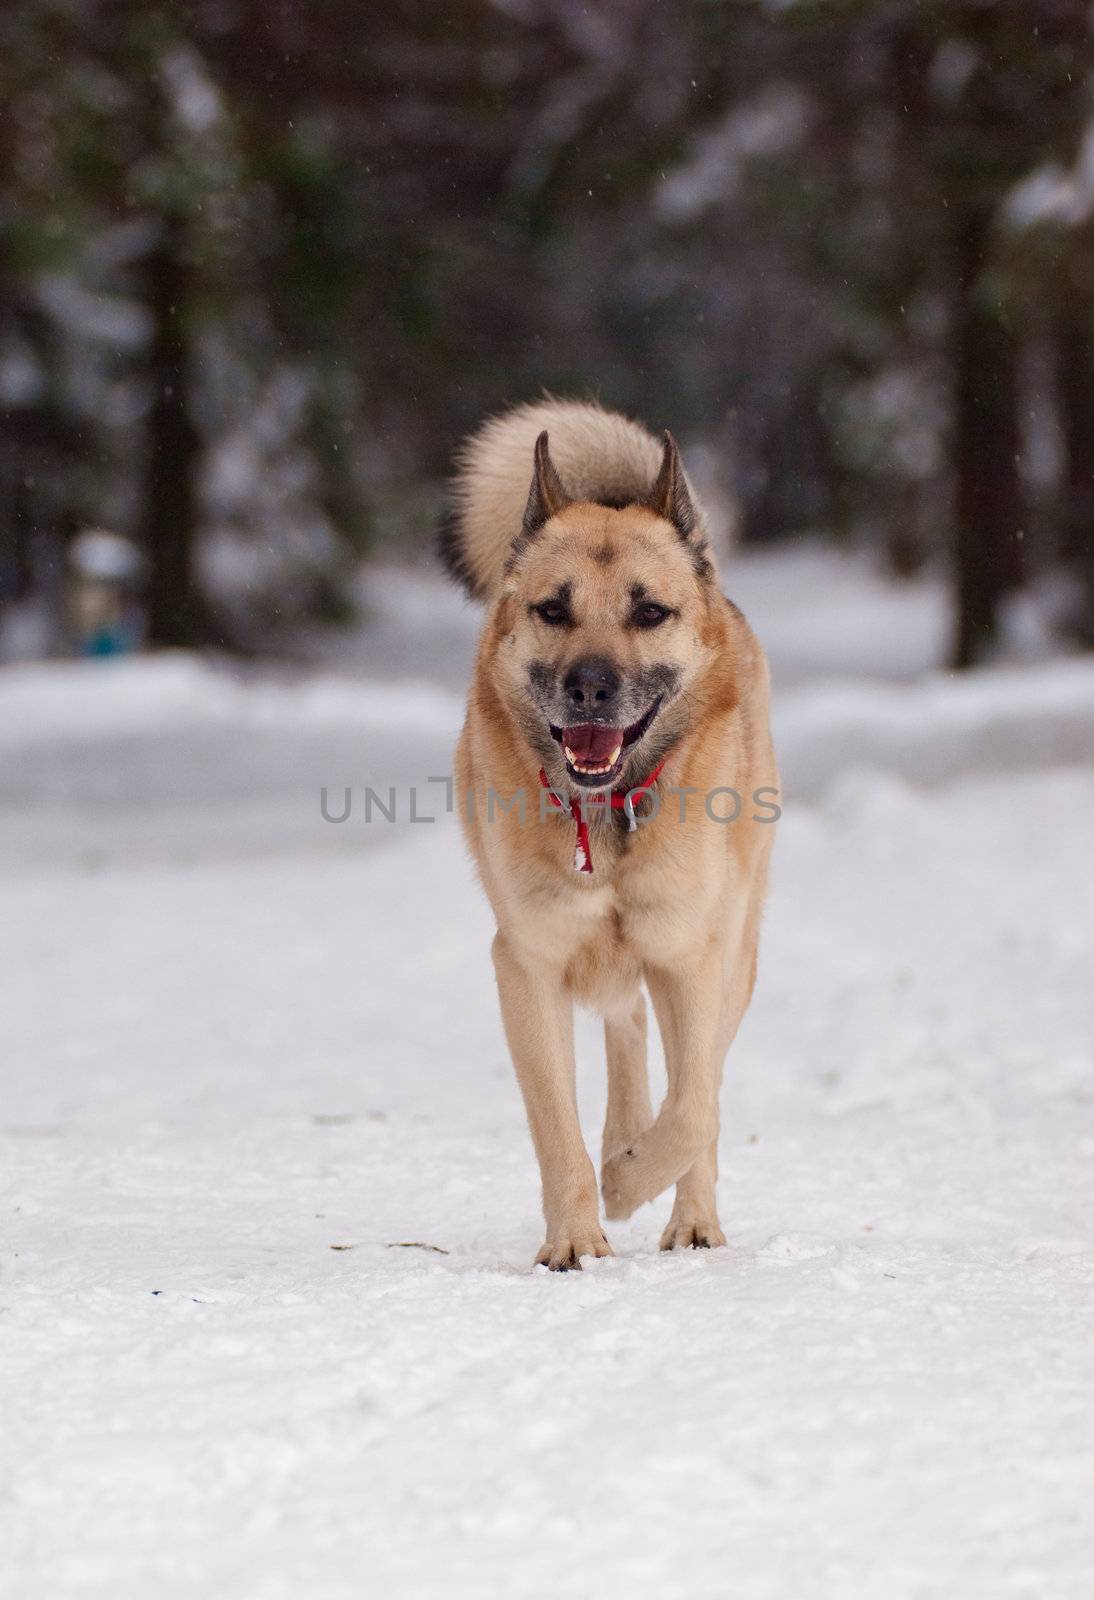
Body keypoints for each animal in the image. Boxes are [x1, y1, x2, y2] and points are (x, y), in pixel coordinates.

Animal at [438, 403, 777, 1273]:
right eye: (553, 609)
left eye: (649, 611)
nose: (589, 686)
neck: (609, 815)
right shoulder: (527, 965)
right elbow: (557, 1128)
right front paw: (577, 1238)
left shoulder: (692, 956)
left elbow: (693, 1109)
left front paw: (628, 1186)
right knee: (626, 1030)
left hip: (734, 948)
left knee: (692, 1082)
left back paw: (687, 1218)